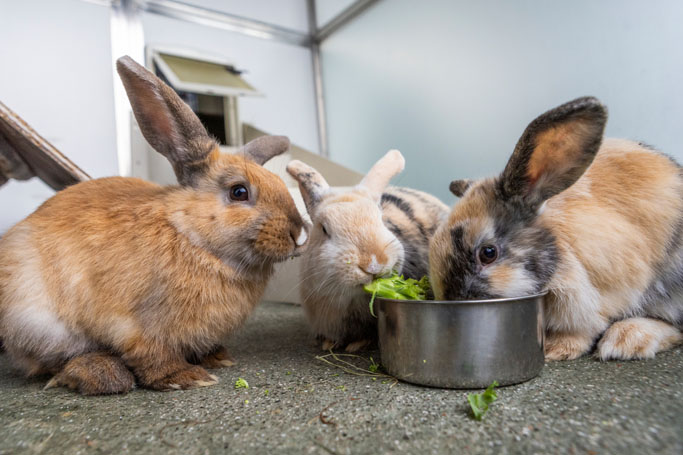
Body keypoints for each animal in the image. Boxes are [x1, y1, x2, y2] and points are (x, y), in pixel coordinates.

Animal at [0, 55, 308, 395]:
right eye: (239, 192)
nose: (298, 234)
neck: (191, 236)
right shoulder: (133, 325)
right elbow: (151, 354)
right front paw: (186, 376)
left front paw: (217, 358)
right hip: (38, 321)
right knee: (54, 362)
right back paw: (102, 374)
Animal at [287, 150, 449, 352]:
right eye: (324, 229)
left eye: (381, 219)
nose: (374, 263)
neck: (353, 300)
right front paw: (328, 344)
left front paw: (356, 345)